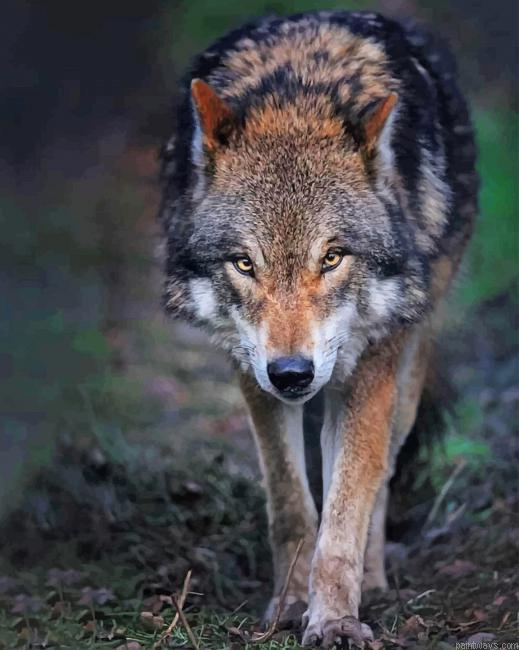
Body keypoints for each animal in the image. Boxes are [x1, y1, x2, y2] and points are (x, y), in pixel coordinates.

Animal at [159, 9, 478, 647]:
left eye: (331, 258)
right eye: (244, 264)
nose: (291, 373)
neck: (298, 94)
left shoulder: (369, 372)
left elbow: (346, 510)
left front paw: (334, 619)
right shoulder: (250, 371)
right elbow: (291, 505)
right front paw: (288, 605)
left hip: (403, 377)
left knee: (381, 475)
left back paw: (373, 581)